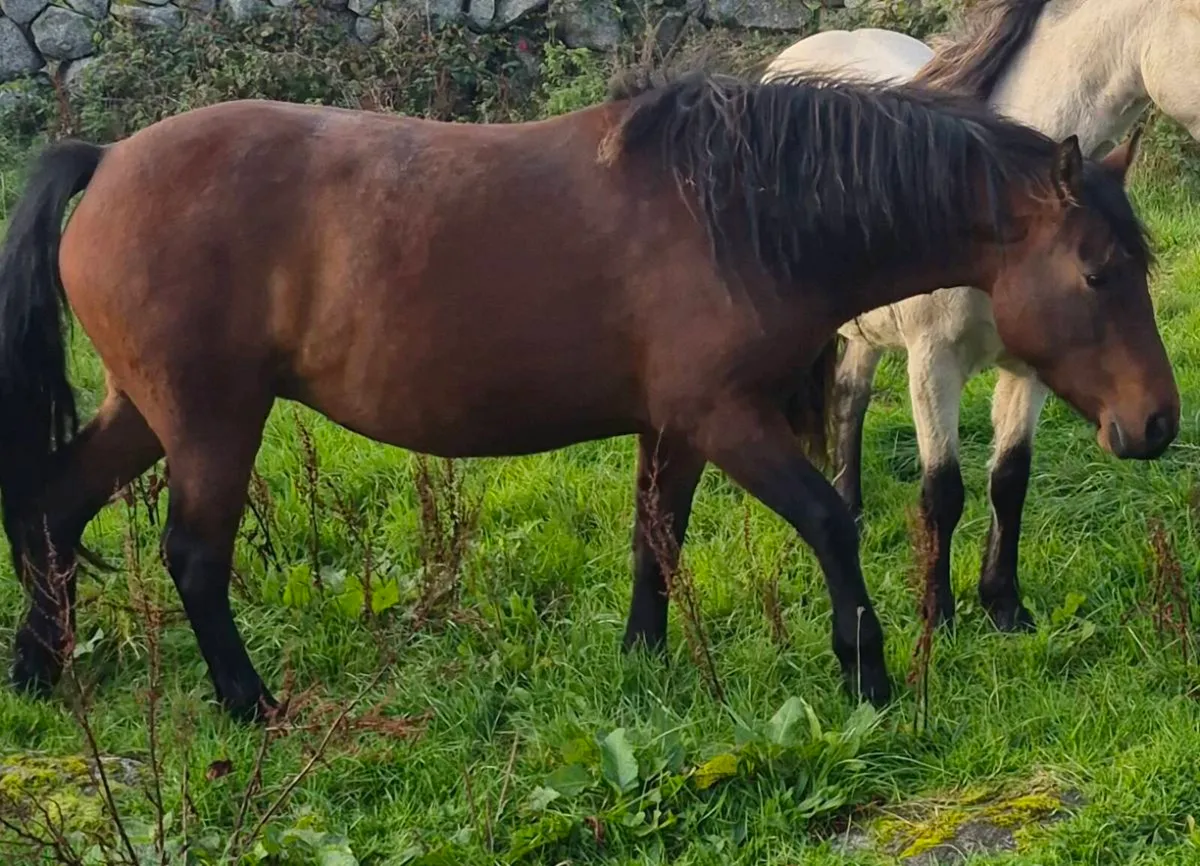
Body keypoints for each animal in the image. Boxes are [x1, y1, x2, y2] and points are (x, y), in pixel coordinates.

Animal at [0, 69, 1176, 721]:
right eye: (1096, 273)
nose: (1158, 422)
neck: (743, 215)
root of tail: (110, 159)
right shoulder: (727, 418)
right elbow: (830, 521)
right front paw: (867, 668)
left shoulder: (676, 426)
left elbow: (655, 535)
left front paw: (643, 659)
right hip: (213, 421)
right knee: (193, 556)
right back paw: (250, 705)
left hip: (146, 412)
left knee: (53, 509)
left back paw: (39, 669)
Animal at [764, 0, 1199, 632]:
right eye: (1094, 276)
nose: (1156, 428)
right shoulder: (932, 365)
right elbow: (942, 491)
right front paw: (938, 615)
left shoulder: (1035, 368)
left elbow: (1009, 478)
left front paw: (1003, 603)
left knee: (850, 394)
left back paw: (851, 505)